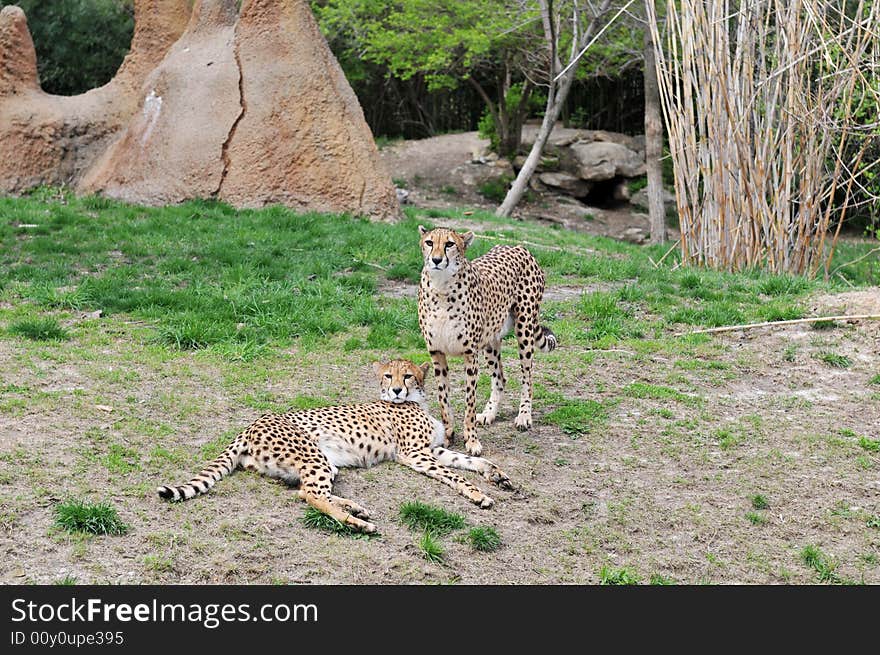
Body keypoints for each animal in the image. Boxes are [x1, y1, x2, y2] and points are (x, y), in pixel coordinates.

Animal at [158, 358, 512, 532]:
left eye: (409, 376)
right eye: (388, 376)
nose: (397, 390)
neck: (414, 401)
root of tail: (253, 423)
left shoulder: (433, 450)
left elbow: (471, 462)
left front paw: (498, 477)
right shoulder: (415, 455)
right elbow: (456, 475)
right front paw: (479, 495)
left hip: (317, 462)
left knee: (309, 491)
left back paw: (355, 508)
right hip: (314, 455)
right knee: (311, 495)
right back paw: (357, 523)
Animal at [418, 228, 556, 458]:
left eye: (449, 244)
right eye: (429, 242)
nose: (436, 260)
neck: (442, 287)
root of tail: (517, 246)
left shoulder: (469, 354)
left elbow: (469, 402)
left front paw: (472, 441)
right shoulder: (437, 353)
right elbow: (443, 399)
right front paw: (447, 435)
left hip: (524, 329)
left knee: (527, 377)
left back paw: (524, 416)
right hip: (491, 340)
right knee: (500, 378)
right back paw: (489, 414)